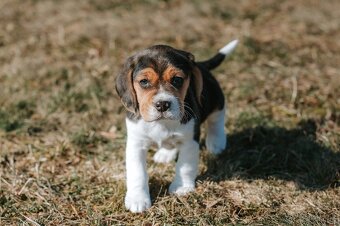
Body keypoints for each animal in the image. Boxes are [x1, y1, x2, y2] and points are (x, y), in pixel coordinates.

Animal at [115, 39, 238, 212]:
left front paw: (181, 187)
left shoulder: (189, 141)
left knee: (217, 119)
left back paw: (216, 143)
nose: (162, 104)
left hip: (216, 100)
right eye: (144, 82)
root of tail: (201, 64)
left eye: (177, 80)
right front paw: (137, 199)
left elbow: (185, 166)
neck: (161, 123)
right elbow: (137, 172)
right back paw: (165, 154)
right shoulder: (135, 144)